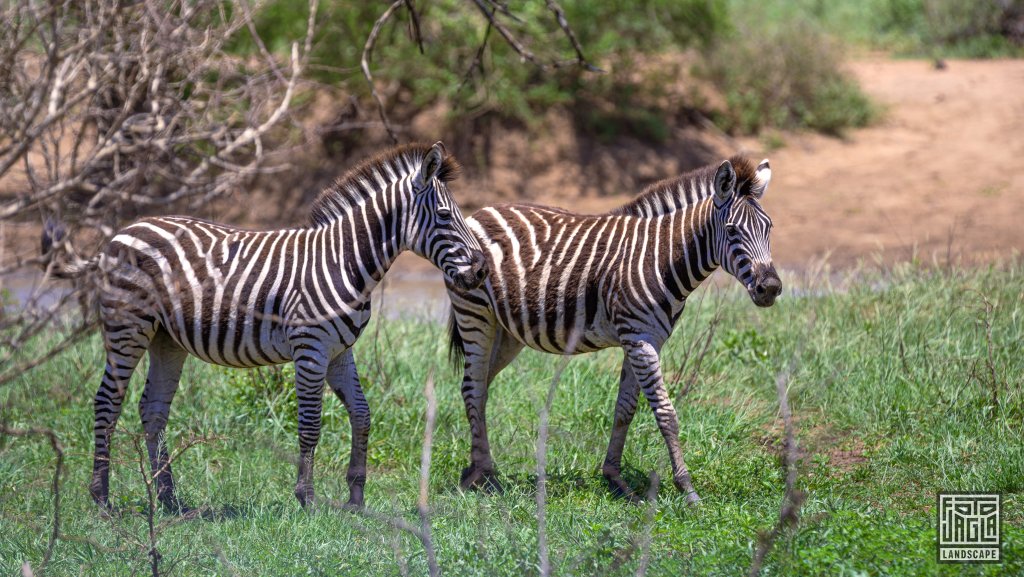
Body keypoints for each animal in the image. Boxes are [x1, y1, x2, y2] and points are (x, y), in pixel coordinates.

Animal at [41, 142, 485, 512]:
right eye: (445, 216)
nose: (481, 270)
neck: (346, 262)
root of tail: (118, 236)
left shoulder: (340, 351)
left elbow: (362, 414)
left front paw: (356, 497)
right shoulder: (310, 348)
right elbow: (311, 424)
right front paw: (306, 498)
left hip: (166, 340)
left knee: (152, 410)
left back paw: (167, 498)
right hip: (127, 328)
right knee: (106, 403)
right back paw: (102, 498)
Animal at [446, 155, 774, 504]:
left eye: (769, 228)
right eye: (732, 231)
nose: (772, 288)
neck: (662, 258)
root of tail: (480, 211)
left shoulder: (644, 339)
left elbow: (625, 409)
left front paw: (615, 479)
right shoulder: (639, 338)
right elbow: (666, 412)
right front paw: (687, 488)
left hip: (505, 331)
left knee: (480, 387)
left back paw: (475, 469)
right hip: (474, 314)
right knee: (472, 388)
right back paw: (484, 477)